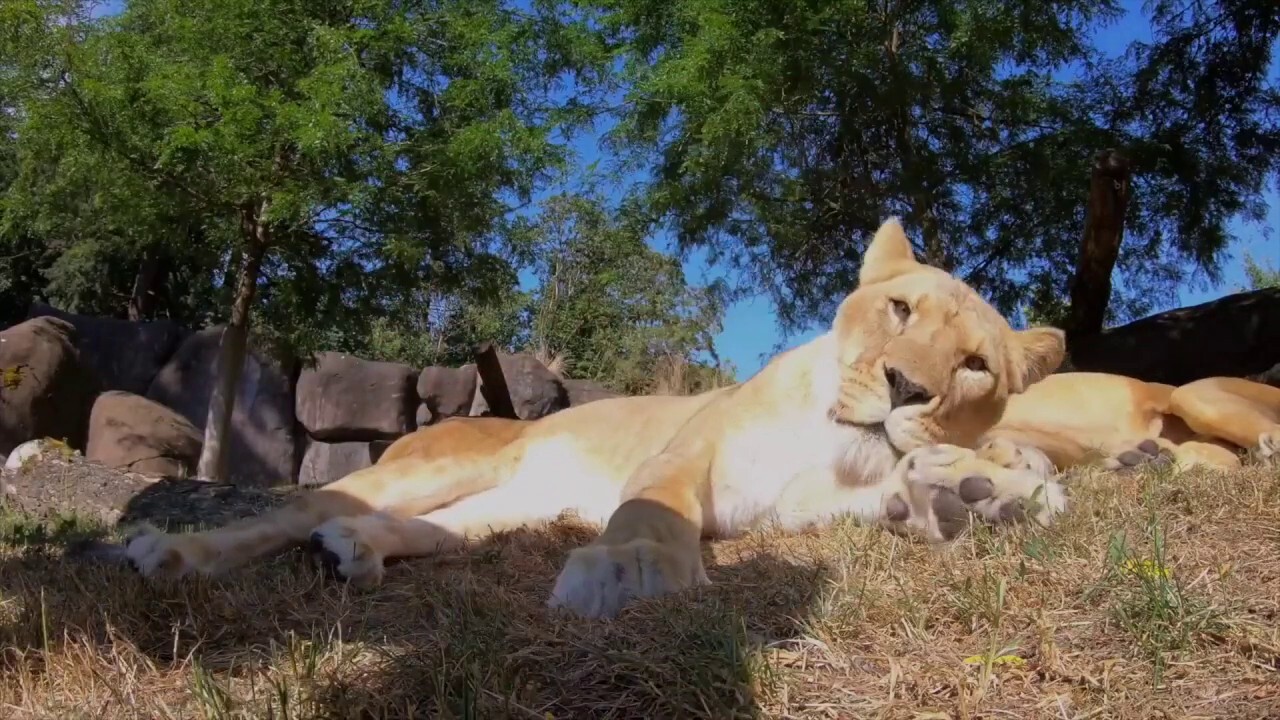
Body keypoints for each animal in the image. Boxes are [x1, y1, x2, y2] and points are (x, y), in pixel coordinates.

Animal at [124, 217, 1075, 617]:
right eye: (901, 310)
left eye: (975, 365)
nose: (907, 387)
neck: (832, 446)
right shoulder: (688, 451)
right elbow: (656, 514)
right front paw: (634, 572)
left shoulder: (814, 509)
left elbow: (907, 493)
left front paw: (978, 492)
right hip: (435, 466)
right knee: (287, 512)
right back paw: (167, 554)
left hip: (507, 512)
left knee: (419, 530)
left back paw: (353, 553)